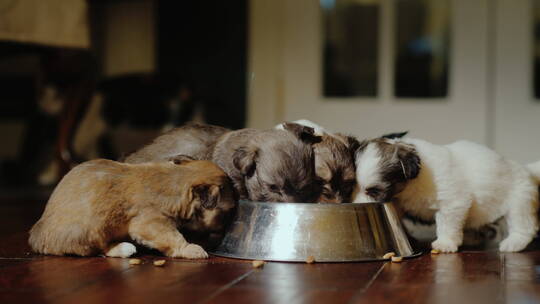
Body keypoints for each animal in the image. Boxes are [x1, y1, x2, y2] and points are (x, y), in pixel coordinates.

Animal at [28, 157, 236, 258]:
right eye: (227, 214)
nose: (226, 230)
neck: (177, 179)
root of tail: (37, 236)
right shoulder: (151, 222)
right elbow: (173, 237)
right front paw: (191, 249)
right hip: (94, 229)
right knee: (99, 249)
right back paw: (123, 248)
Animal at [354, 137, 536, 252]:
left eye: (374, 191)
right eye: (353, 186)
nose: (357, 205)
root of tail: (526, 170)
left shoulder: (452, 203)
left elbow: (447, 224)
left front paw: (445, 243)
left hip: (519, 202)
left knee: (524, 226)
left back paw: (514, 243)